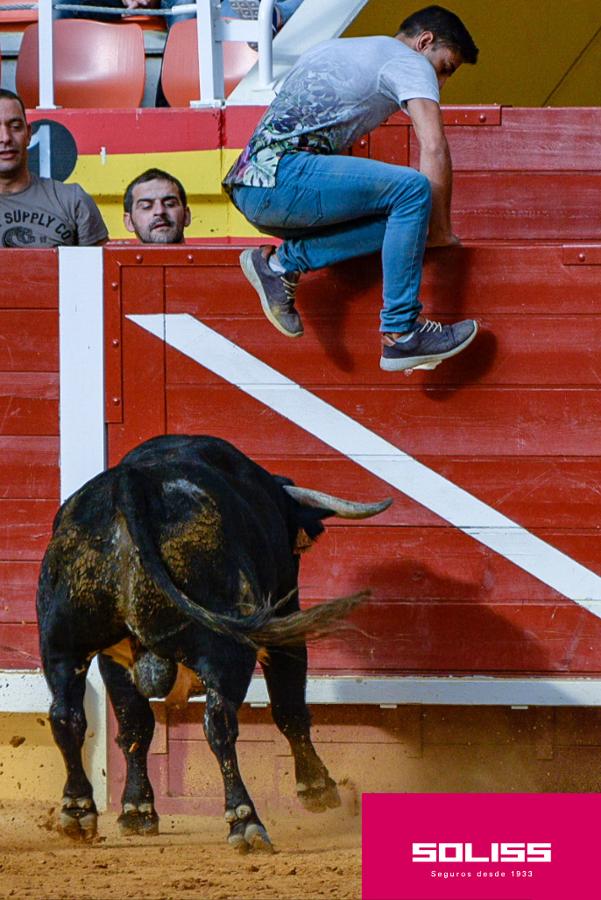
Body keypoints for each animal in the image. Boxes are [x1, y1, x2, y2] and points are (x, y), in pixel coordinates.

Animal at [36, 434, 390, 852]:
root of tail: (130, 484)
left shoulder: (113, 659)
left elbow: (135, 726)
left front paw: (137, 811)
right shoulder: (284, 621)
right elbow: (289, 709)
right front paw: (317, 789)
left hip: (61, 644)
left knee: (67, 716)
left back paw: (77, 811)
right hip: (227, 649)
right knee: (219, 723)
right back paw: (245, 822)